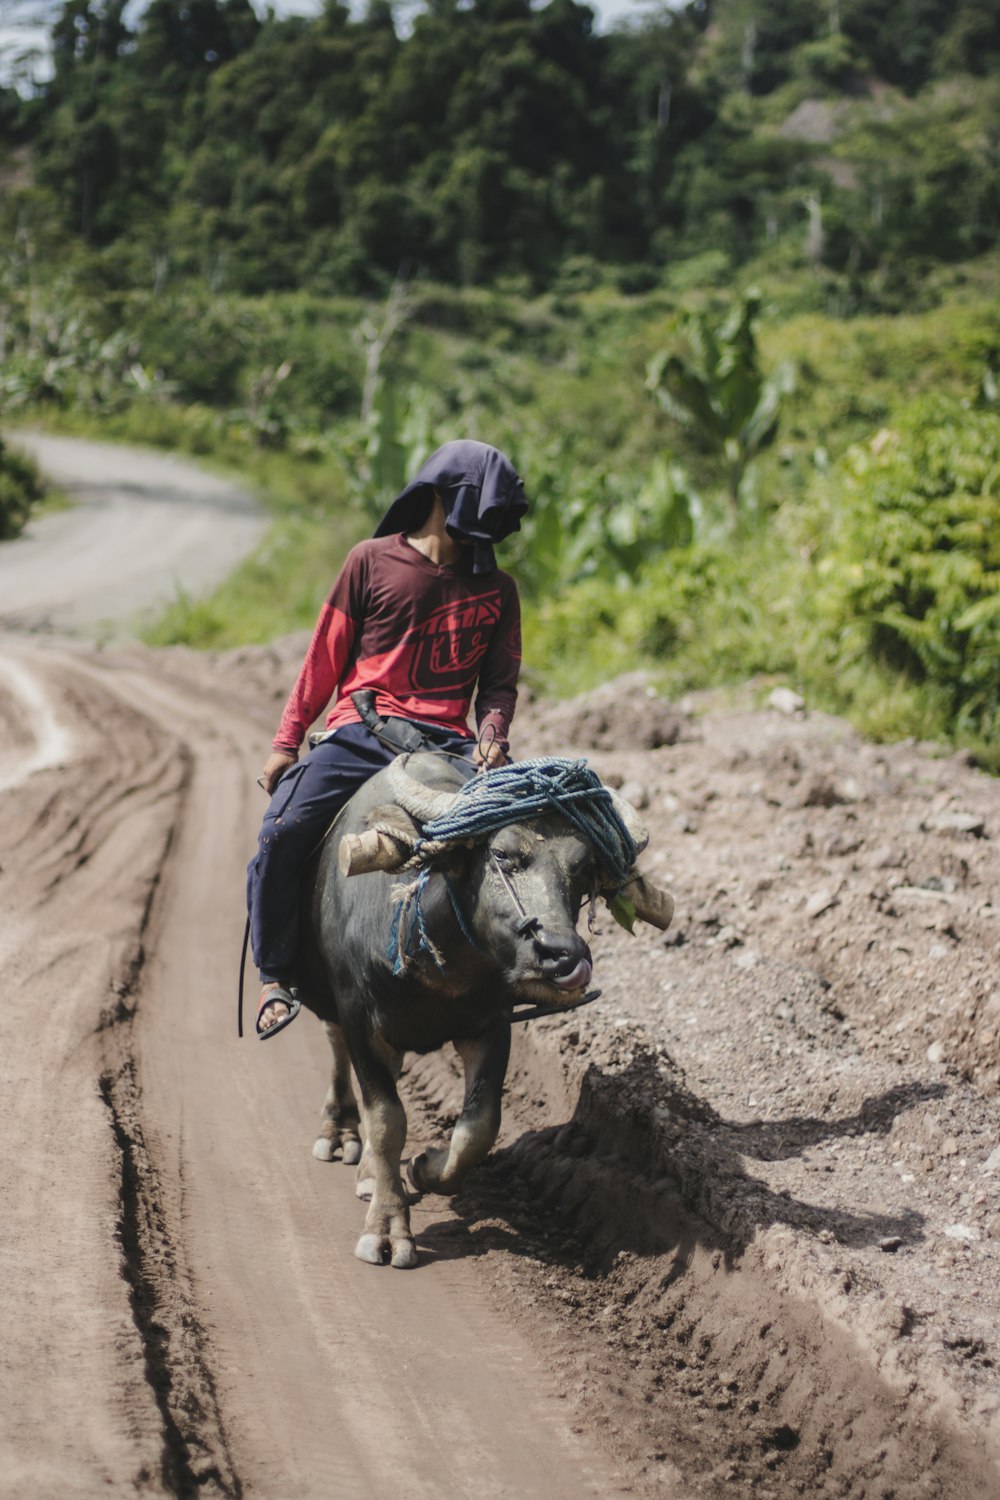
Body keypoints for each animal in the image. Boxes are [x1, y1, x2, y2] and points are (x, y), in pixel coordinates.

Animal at [295, 750, 671, 1266]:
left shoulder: (492, 1025)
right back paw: (340, 1136)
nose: (562, 956)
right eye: (502, 855)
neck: (437, 954)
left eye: (582, 868)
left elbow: (479, 1125)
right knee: (336, 1050)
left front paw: (426, 1166)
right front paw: (388, 1228)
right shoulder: (360, 1021)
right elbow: (388, 1118)